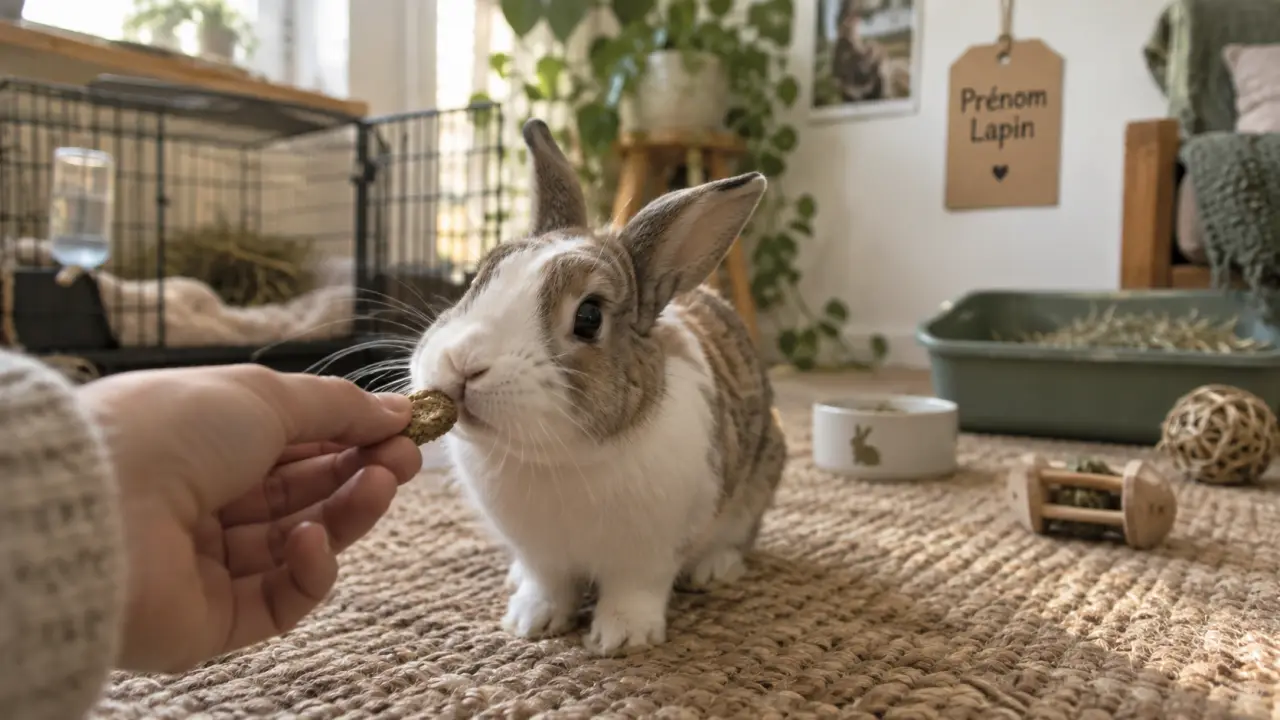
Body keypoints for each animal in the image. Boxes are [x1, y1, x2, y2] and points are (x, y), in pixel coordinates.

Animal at [408, 118, 787, 656]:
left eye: (589, 317)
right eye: (479, 278)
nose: (462, 363)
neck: (559, 457)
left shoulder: (648, 555)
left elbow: (635, 591)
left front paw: (621, 639)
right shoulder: (542, 555)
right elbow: (547, 584)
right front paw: (530, 621)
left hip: (760, 477)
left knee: (738, 536)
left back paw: (714, 569)